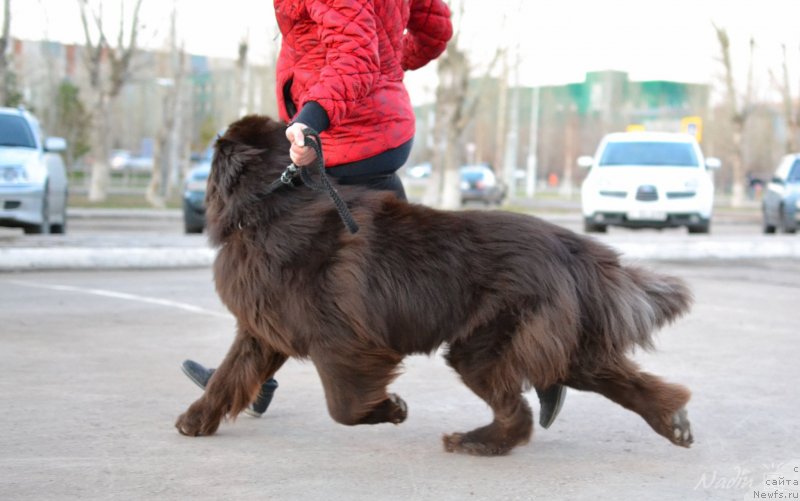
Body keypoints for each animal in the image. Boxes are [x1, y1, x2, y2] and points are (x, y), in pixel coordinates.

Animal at [175, 115, 692, 456]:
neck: (270, 209)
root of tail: (571, 245)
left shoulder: (341, 344)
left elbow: (343, 406)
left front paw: (391, 408)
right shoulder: (262, 330)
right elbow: (229, 375)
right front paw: (195, 419)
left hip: (484, 348)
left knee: (519, 412)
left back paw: (474, 442)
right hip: (554, 342)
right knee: (614, 380)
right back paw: (673, 422)